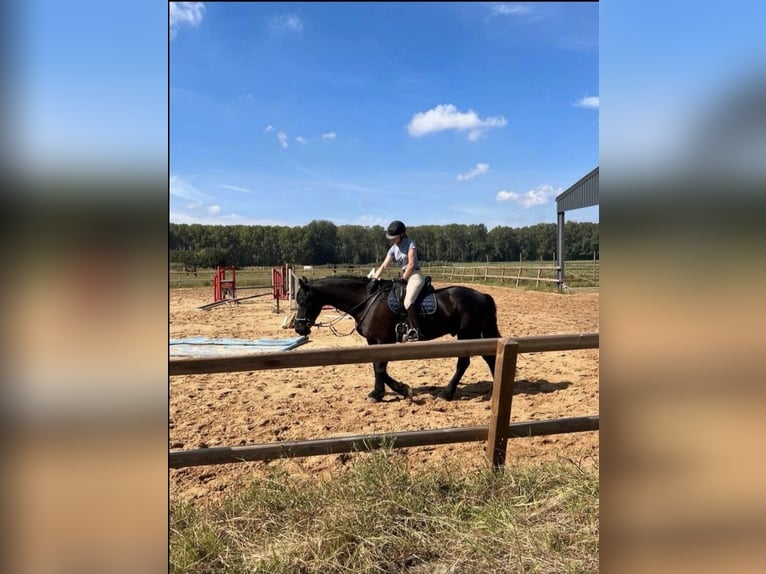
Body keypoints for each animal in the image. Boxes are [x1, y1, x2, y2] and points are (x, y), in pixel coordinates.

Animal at [294, 275, 500, 402]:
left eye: (304, 300)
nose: (298, 327)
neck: (367, 301)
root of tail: (482, 295)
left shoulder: (382, 341)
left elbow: (380, 367)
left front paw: (394, 390)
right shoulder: (373, 342)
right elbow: (377, 366)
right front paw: (382, 392)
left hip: (467, 334)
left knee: (464, 362)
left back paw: (447, 393)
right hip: (474, 335)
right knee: (490, 357)